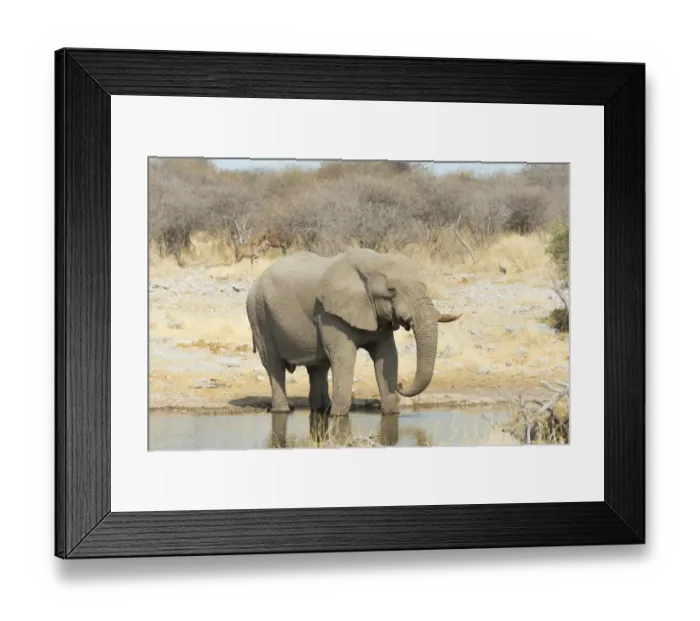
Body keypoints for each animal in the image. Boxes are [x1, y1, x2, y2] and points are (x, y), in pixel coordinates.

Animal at [245, 248, 461, 417]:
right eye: (391, 290)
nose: (400, 385)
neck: (374, 261)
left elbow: (388, 355)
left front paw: (391, 413)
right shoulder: (328, 312)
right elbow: (344, 356)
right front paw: (339, 416)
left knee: (318, 366)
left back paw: (321, 409)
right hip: (258, 314)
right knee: (273, 364)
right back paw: (284, 411)